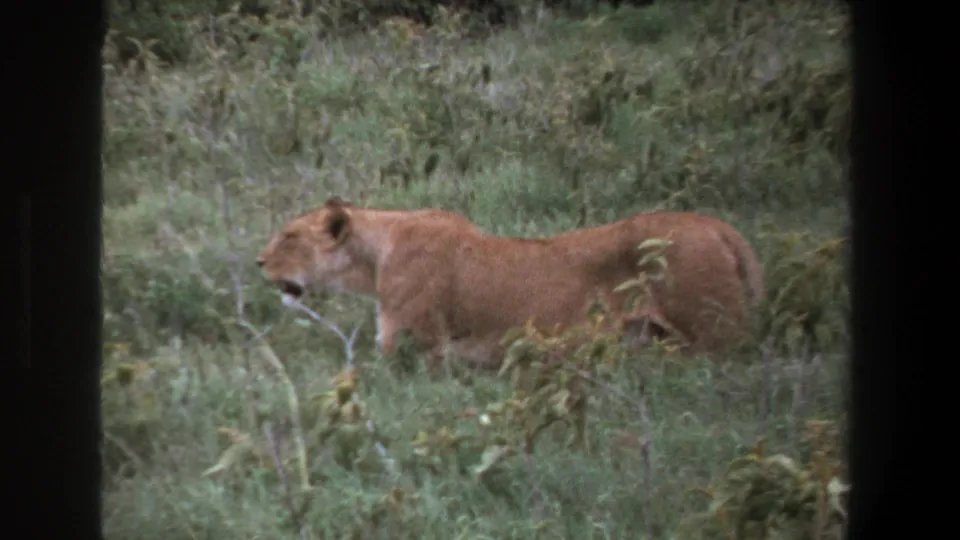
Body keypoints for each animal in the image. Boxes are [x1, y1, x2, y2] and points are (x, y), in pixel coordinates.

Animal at [256, 197, 765, 373]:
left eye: (289, 236)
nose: (258, 261)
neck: (376, 255)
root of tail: (720, 227)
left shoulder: (412, 347)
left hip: (714, 337)